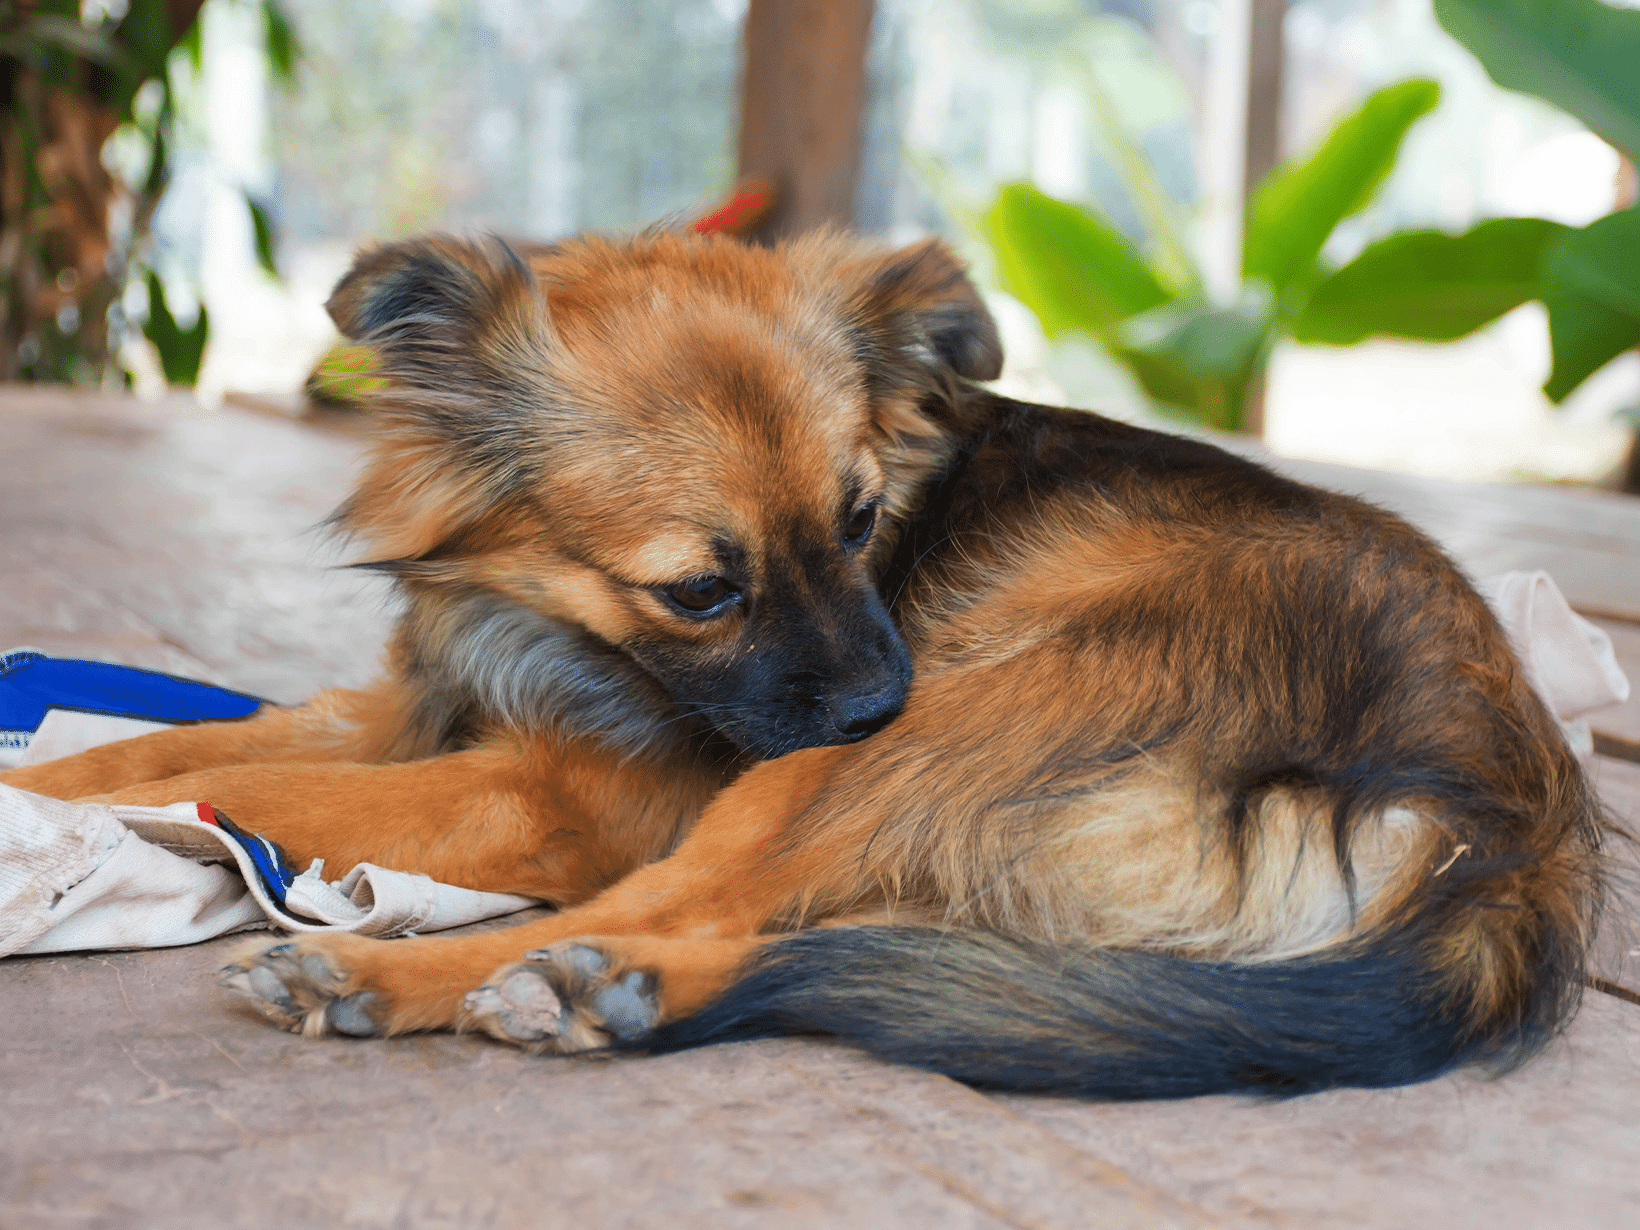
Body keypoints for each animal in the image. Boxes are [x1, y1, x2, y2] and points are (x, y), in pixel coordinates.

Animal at [6, 226, 1607, 1102]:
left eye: (858, 523)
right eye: (701, 588)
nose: (873, 691)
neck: (549, 626)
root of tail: (1508, 834)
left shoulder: (571, 795)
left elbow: (263, 784)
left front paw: (55, 821)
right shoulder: (413, 707)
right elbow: (175, 751)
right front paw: (68, 777)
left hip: (890, 752)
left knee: (697, 909)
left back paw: (423, 976)